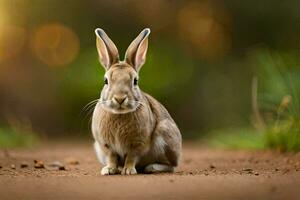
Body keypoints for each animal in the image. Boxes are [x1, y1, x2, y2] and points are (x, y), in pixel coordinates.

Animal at [91, 28, 182, 175]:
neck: (119, 114)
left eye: (135, 81)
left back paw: (152, 168)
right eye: (106, 81)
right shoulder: (106, 145)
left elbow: (131, 156)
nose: (120, 98)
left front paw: (128, 171)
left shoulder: (138, 144)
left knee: (171, 166)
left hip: (166, 136)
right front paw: (109, 170)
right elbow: (112, 157)